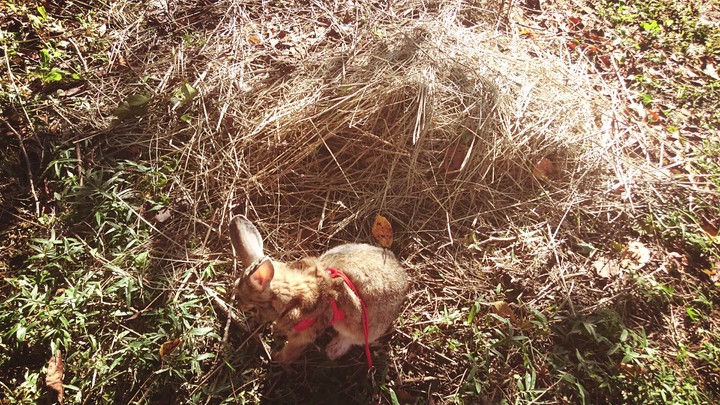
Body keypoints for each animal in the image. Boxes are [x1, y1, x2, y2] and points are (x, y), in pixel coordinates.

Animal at [228, 215, 409, 365]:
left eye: (252, 307)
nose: (255, 319)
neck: (291, 296)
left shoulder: (303, 334)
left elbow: (291, 351)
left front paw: (277, 358)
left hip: (363, 328)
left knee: (351, 338)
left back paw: (333, 350)